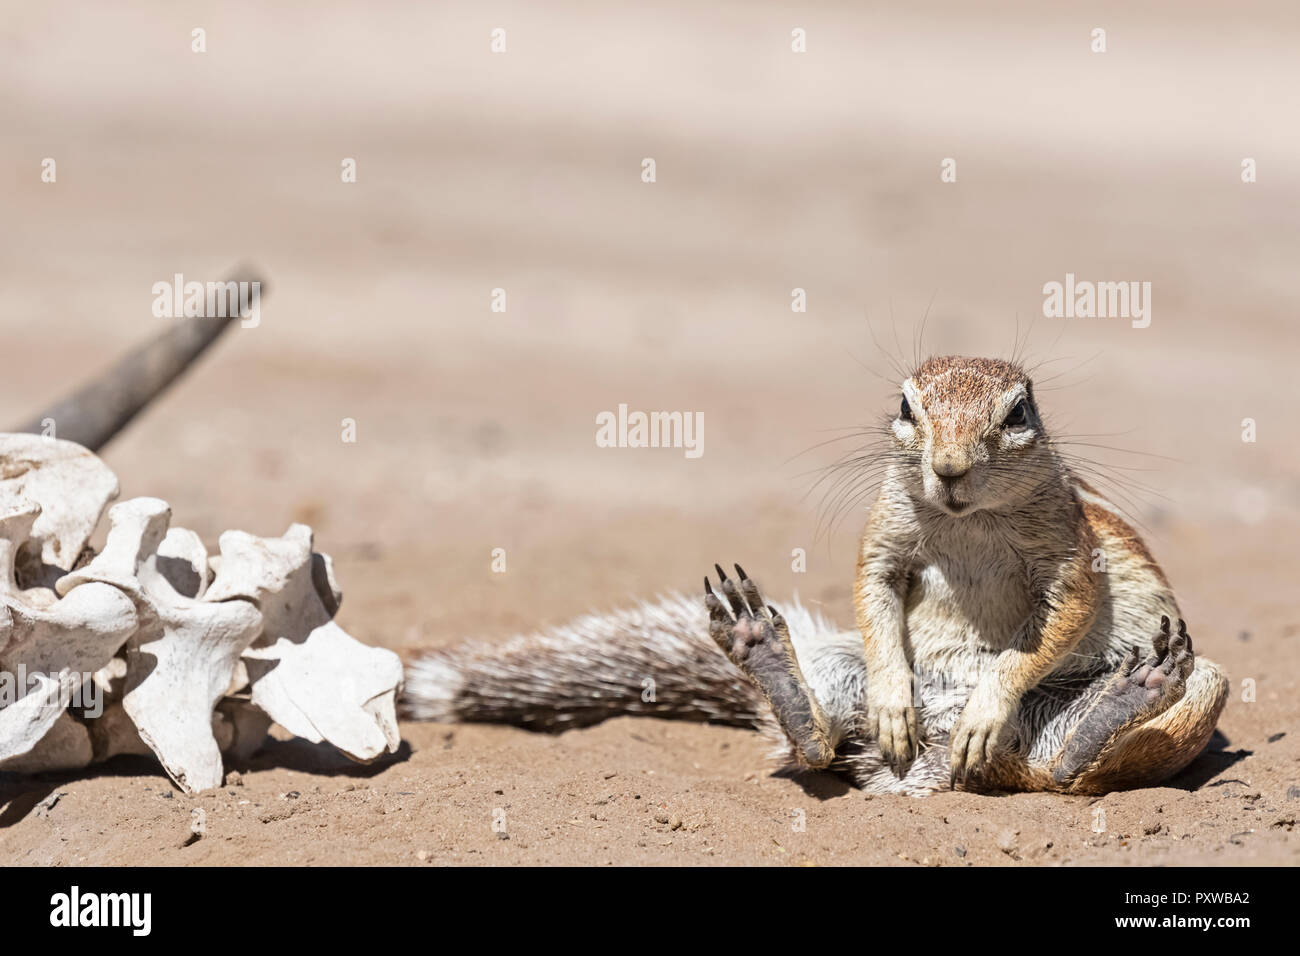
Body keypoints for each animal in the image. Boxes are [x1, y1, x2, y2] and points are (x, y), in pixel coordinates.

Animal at [405, 356, 1227, 790]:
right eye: (907, 406)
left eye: (1019, 413)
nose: (949, 469)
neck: (967, 521)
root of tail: (940, 765)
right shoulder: (884, 535)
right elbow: (875, 591)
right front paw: (895, 695)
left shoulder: (1069, 554)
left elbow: (1056, 623)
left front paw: (990, 704)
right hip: (838, 671)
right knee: (817, 746)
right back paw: (770, 660)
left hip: (1201, 687)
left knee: (1066, 776)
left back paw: (1117, 704)